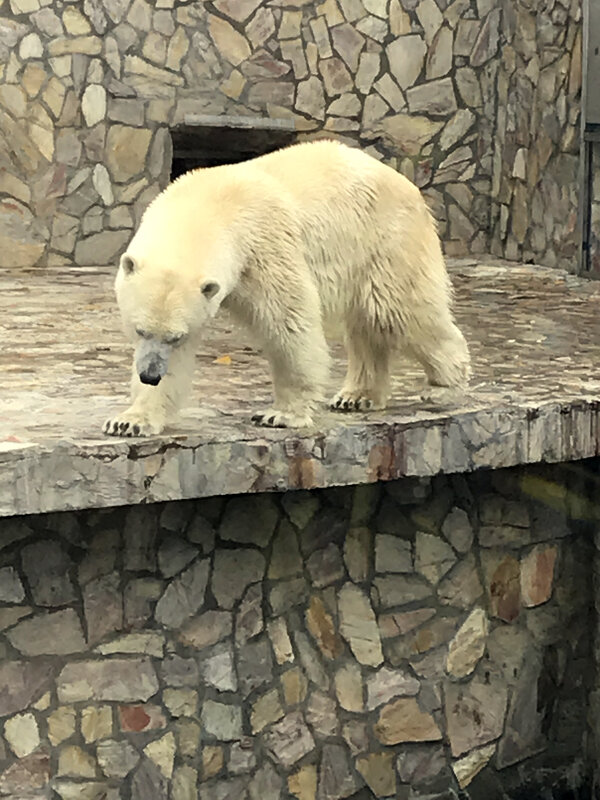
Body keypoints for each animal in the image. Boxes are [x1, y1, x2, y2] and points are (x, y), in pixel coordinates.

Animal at [102, 139, 468, 438]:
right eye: (140, 330)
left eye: (174, 336)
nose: (149, 375)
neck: (209, 205)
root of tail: (408, 185)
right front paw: (129, 420)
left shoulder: (264, 247)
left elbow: (288, 322)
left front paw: (280, 415)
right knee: (368, 323)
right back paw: (357, 396)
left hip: (386, 238)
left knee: (396, 310)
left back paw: (445, 386)